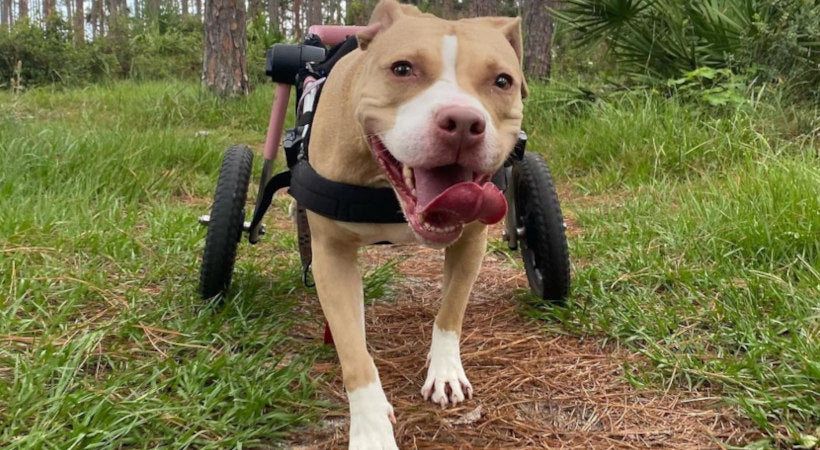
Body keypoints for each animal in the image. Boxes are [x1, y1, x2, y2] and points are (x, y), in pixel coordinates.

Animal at [306, 1, 524, 448]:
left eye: (502, 81)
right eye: (402, 69)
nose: (463, 123)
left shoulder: (471, 243)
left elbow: (450, 311)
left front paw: (445, 373)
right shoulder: (331, 255)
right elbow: (355, 355)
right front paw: (371, 430)